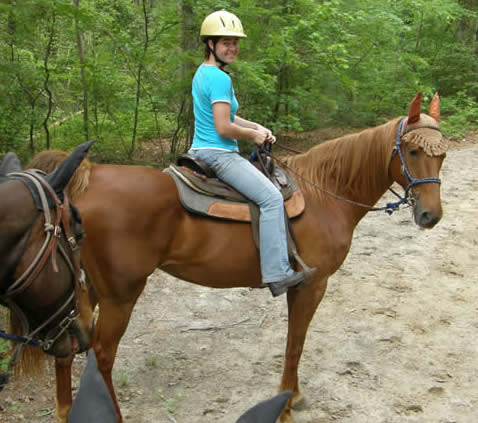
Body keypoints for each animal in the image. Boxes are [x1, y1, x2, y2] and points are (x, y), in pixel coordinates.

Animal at [30, 91, 448, 422]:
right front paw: (288, 403)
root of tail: (88, 178)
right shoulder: (311, 285)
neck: (325, 193)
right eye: (412, 151)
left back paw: (66, 410)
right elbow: (295, 342)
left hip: (83, 286)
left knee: (68, 346)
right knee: (101, 355)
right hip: (120, 295)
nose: (431, 215)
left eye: (441, 156)